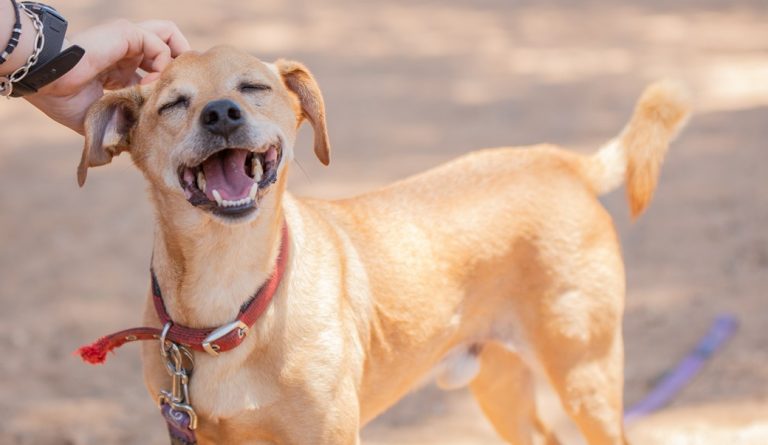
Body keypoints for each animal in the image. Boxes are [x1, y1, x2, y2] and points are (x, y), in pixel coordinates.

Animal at [76, 46, 688, 444]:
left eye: (253, 88)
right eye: (173, 104)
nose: (222, 113)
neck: (232, 304)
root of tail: (558, 160)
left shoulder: (328, 436)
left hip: (586, 376)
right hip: (502, 384)